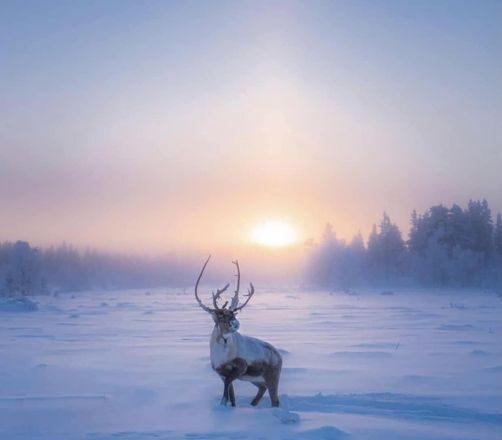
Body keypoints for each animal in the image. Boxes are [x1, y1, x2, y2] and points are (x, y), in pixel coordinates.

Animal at [194, 256, 282, 408]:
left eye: (233, 315)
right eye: (221, 317)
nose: (236, 324)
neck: (221, 355)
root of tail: (279, 356)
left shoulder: (241, 368)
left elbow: (228, 386)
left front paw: (222, 404)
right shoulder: (220, 373)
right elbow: (231, 394)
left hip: (271, 376)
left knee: (275, 400)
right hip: (255, 379)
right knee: (262, 389)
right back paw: (252, 404)